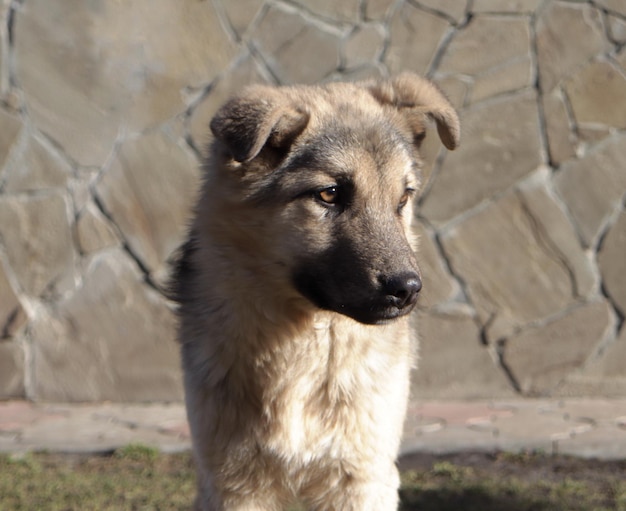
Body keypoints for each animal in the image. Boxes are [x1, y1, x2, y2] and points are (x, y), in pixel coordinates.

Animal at [171, 73, 458, 511]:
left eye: (403, 197)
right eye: (329, 194)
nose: (408, 290)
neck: (303, 347)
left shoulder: (363, 478)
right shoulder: (233, 483)